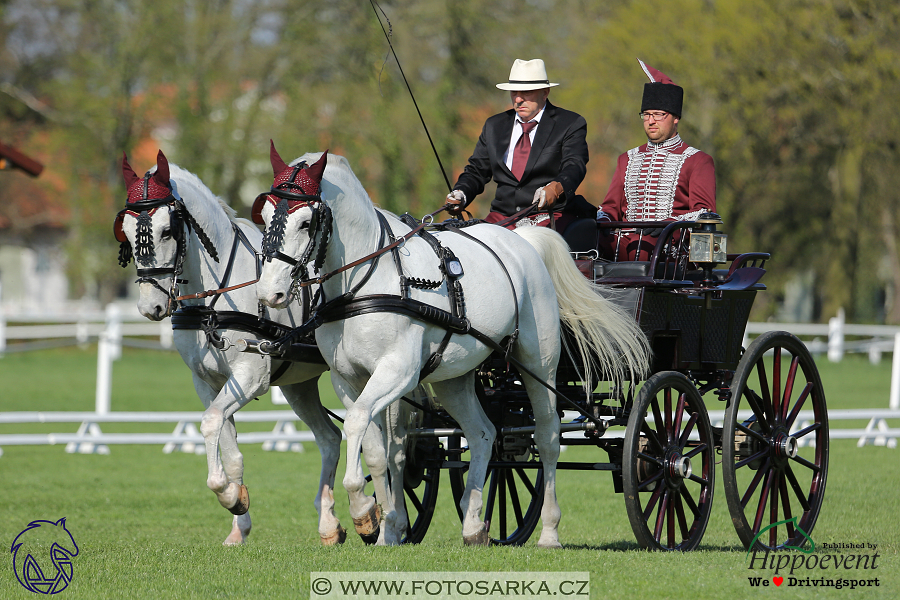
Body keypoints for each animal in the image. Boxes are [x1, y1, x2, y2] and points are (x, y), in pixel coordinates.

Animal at [113, 149, 394, 544]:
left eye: (167, 230)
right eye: (123, 232)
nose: (149, 307)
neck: (214, 297)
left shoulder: (248, 377)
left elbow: (210, 423)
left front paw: (228, 495)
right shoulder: (208, 383)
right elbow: (226, 444)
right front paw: (238, 515)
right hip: (298, 385)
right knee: (328, 438)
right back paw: (329, 523)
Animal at [253, 148, 648, 548]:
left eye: (305, 222)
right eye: (266, 215)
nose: (269, 294)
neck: (364, 281)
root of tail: (524, 240)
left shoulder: (397, 371)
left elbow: (359, 424)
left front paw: (365, 511)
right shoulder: (347, 379)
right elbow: (376, 447)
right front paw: (382, 525)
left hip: (540, 364)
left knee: (548, 435)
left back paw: (550, 531)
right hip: (454, 378)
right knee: (484, 433)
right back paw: (474, 525)